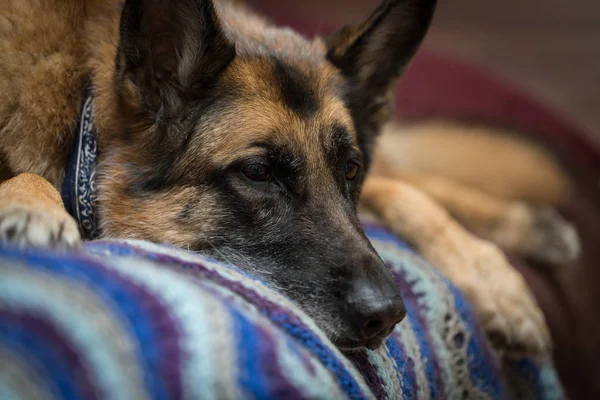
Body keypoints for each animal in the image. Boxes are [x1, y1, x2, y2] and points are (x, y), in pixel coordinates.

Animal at [0, 0, 580, 356]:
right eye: (258, 173)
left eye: (350, 169)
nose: (389, 317)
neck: (82, 111)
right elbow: (25, 177)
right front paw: (32, 205)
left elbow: (404, 191)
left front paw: (494, 277)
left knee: (408, 177)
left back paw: (523, 236)